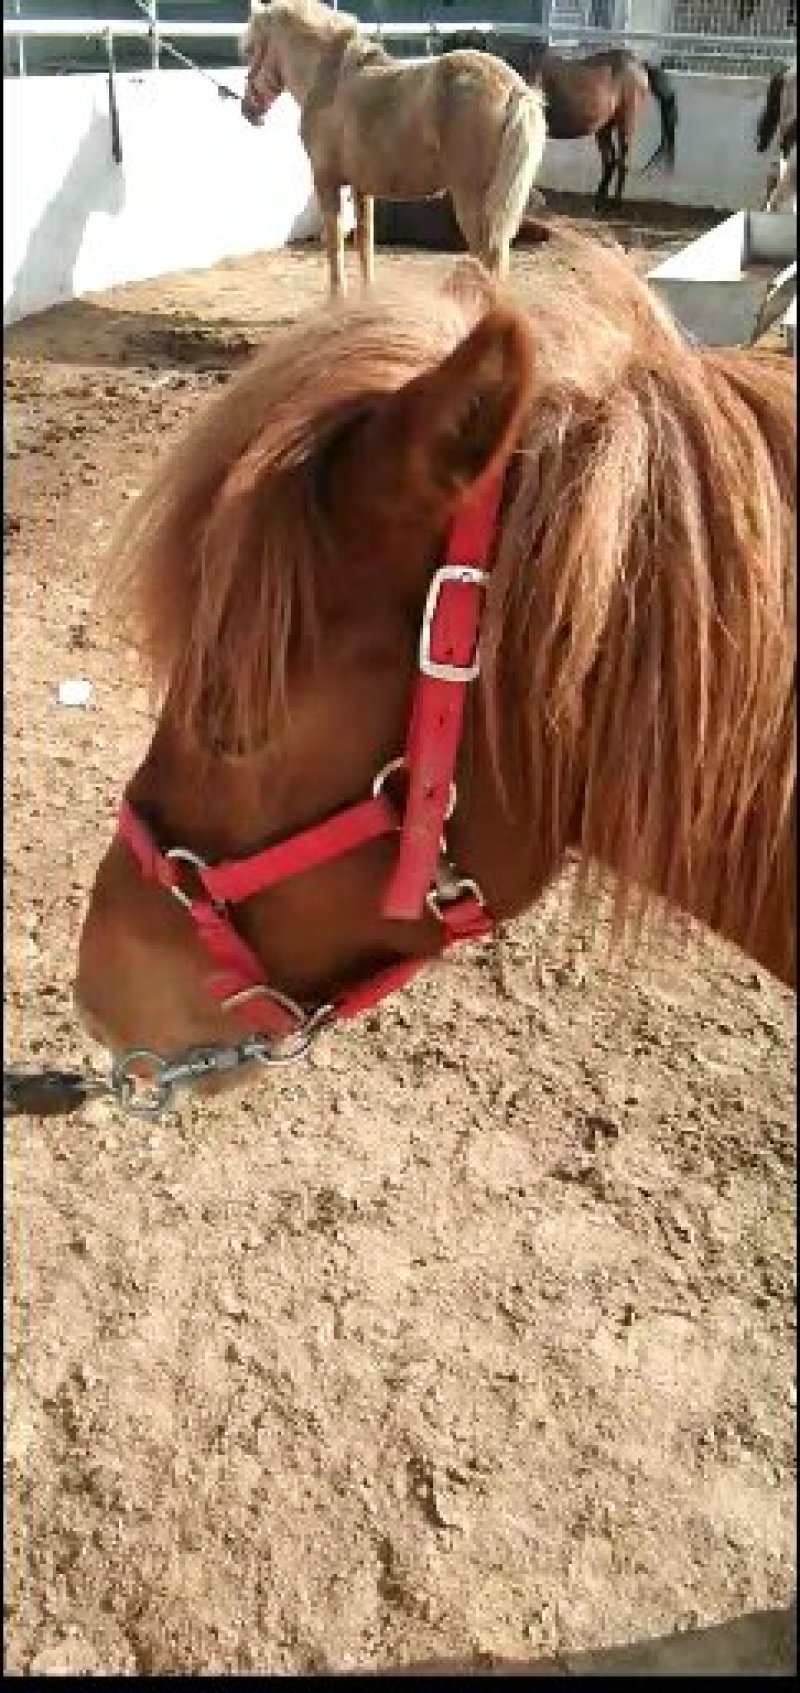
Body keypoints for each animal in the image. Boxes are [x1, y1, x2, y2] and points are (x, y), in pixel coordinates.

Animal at [240, 1, 546, 291]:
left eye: (249, 49)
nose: (248, 110)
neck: (330, 80)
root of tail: (513, 87)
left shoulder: (326, 182)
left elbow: (336, 249)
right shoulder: (361, 188)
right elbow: (365, 244)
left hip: (474, 203)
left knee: (489, 258)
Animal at [441, 31, 677, 207]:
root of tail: (640, 64)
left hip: (625, 122)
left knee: (623, 159)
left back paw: (616, 204)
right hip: (603, 127)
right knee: (609, 159)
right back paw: (599, 201)